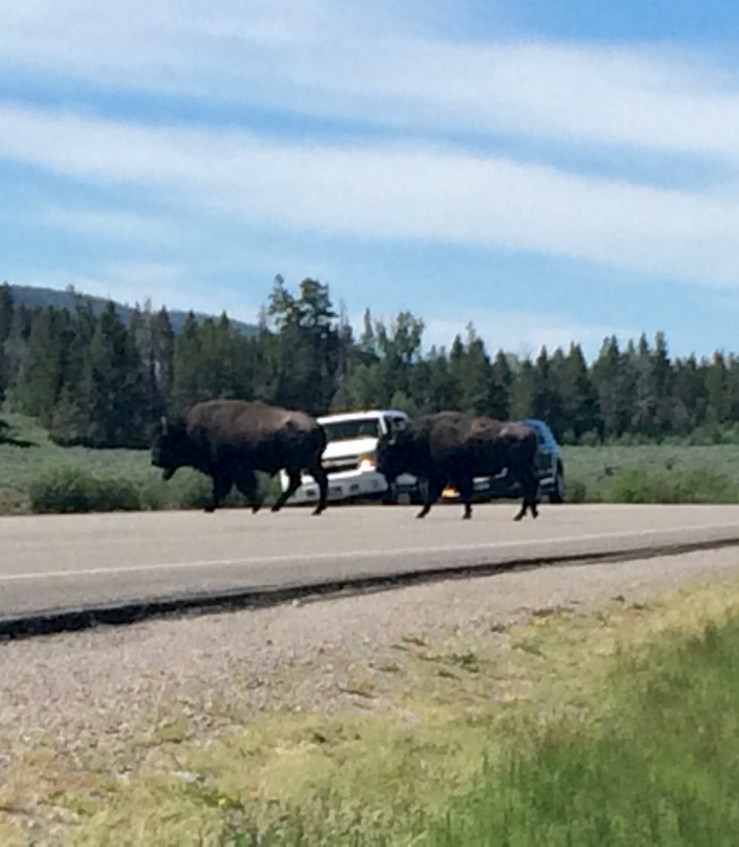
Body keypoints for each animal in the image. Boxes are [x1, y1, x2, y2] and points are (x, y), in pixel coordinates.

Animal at [151, 399, 328, 515]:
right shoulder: (226, 472)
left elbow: (239, 487)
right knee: (301, 482)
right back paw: (280, 508)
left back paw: (315, 510)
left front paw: (254, 507)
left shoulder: (231, 470)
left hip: (302, 463)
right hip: (299, 465)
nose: (154, 460)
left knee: (314, 480)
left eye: (164, 441)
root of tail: (316, 425)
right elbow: (228, 489)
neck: (189, 432)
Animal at [376, 411, 539, 521]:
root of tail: (531, 432)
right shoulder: (449, 476)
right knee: (532, 485)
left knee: (529, 486)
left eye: (385, 450)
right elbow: (455, 493)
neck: (427, 437)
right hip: (523, 468)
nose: (379, 468)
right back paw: (531, 513)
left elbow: (450, 493)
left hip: (519, 468)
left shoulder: (450, 475)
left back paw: (520, 515)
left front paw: (465, 514)